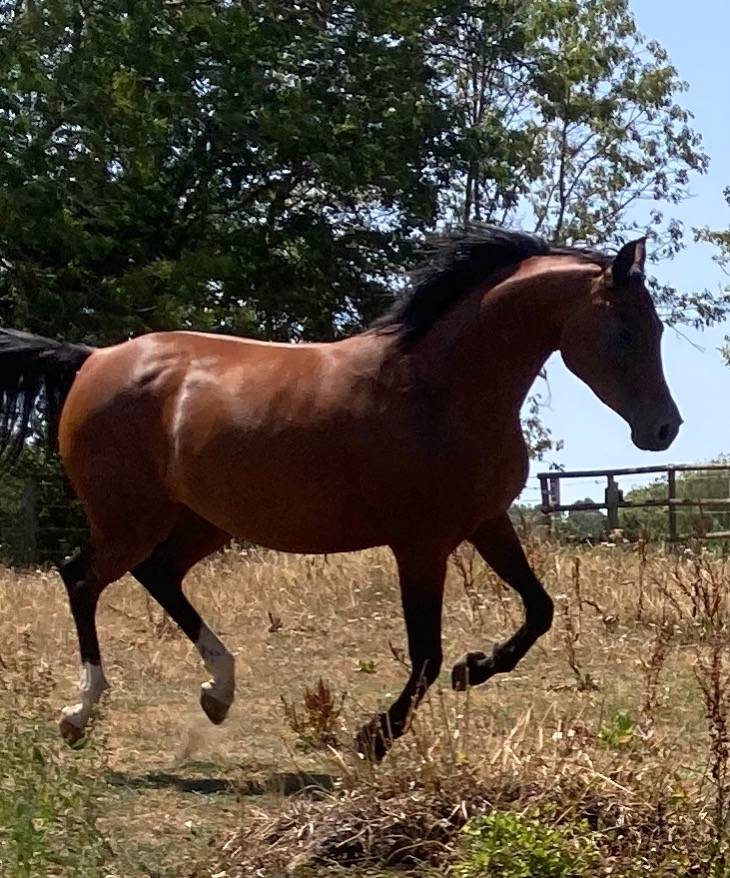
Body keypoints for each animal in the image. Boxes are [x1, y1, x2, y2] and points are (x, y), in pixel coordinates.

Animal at [0, 226, 681, 760]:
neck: (438, 390)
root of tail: (92, 359)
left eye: (656, 329)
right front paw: (374, 736)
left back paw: (218, 691)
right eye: (624, 332)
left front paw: (474, 669)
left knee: (158, 575)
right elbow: (426, 652)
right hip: (129, 516)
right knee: (81, 578)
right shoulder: (421, 544)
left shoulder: (487, 522)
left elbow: (539, 610)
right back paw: (80, 713)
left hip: (200, 520)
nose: (663, 429)